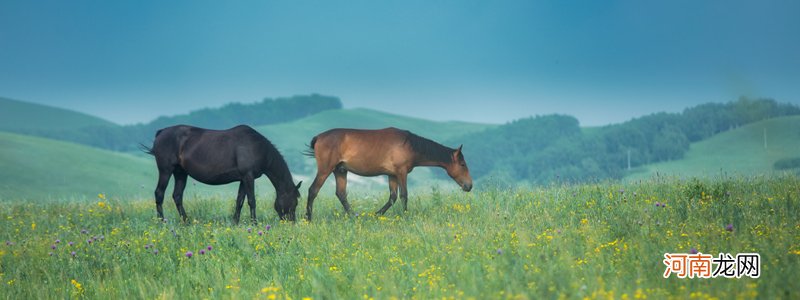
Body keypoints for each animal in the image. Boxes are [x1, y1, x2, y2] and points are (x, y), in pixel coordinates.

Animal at [144, 124, 300, 223]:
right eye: (295, 201)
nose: (292, 223)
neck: (258, 147)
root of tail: (161, 132)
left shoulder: (243, 179)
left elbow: (240, 201)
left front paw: (235, 223)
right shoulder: (248, 177)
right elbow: (252, 201)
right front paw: (254, 223)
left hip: (180, 173)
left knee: (177, 196)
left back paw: (186, 222)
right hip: (166, 171)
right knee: (159, 193)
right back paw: (161, 222)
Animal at [304, 127, 472, 220]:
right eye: (462, 164)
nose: (469, 186)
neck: (409, 144)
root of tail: (319, 137)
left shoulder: (392, 175)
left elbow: (392, 197)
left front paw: (376, 214)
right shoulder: (401, 173)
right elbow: (404, 195)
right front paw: (405, 216)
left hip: (340, 171)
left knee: (341, 194)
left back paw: (354, 216)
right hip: (325, 170)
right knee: (313, 190)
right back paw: (308, 218)